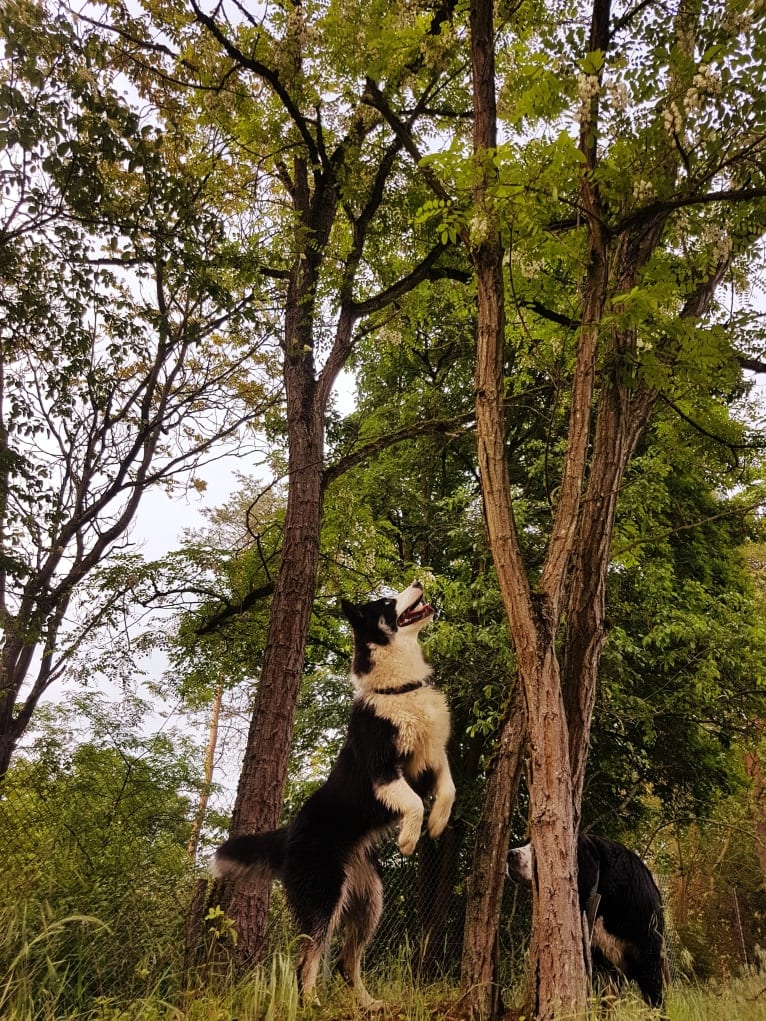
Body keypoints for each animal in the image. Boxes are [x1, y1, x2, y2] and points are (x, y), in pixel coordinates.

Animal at [213, 588, 455, 1008]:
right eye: (387, 603)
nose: (419, 583)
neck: (399, 690)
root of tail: (289, 832)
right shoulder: (384, 772)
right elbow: (413, 802)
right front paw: (409, 839)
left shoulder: (432, 756)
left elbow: (448, 789)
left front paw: (438, 822)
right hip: (323, 896)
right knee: (307, 959)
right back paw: (311, 1003)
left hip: (370, 900)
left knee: (345, 960)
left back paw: (368, 1003)